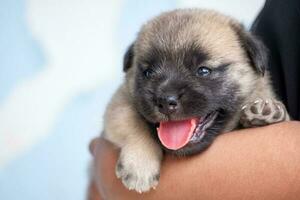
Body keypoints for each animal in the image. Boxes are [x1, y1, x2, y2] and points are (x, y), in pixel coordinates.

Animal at [102, 8, 290, 193]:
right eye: (148, 73)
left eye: (203, 71)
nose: (165, 101)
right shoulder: (119, 103)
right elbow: (131, 121)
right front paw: (140, 165)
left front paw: (267, 112)